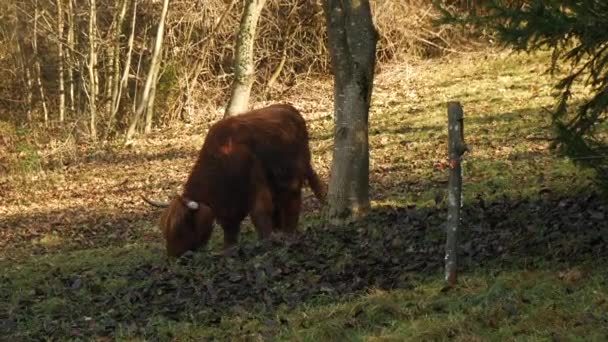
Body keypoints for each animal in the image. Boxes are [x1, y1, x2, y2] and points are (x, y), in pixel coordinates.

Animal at [142, 103, 326, 258]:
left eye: (182, 226)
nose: (173, 256)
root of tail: (288, 107)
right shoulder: (228, 206)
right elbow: (230, 228)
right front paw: (228, 249)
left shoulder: (256, 184)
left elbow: (260, 213)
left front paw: (266, 242)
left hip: (299, 168)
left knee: (301, 196)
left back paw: (295, 228)